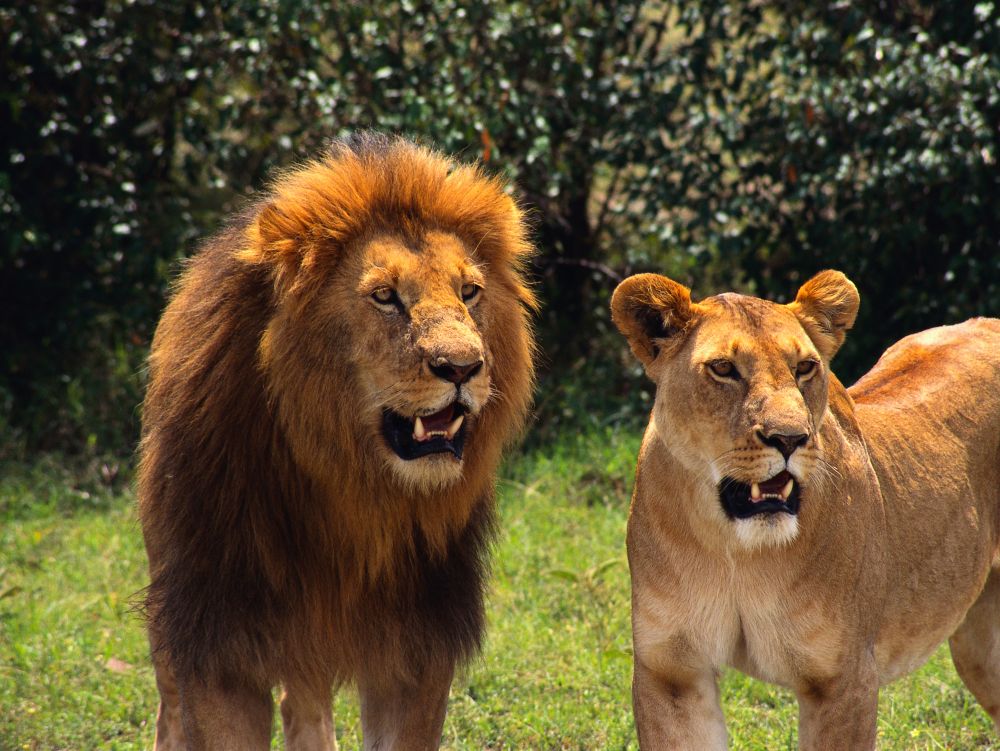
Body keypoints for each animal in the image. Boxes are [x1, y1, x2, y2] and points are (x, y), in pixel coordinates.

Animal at [139, 135, 540, 751]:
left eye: (470, 292)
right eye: (385, 296)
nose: (463, 367)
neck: (350, 490)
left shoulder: (419, 648)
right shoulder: (219, 639)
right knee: (170, 704)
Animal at [608, 272, 1000, 751]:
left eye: (804, 368)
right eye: (723, 369)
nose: (790, 438)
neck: (736, 551)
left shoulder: (842, 679)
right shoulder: (672, 674)